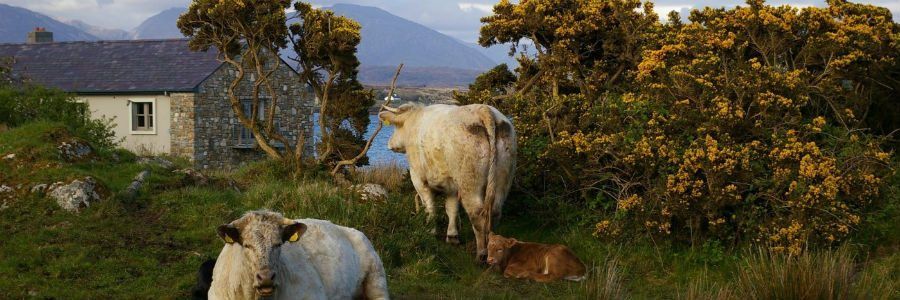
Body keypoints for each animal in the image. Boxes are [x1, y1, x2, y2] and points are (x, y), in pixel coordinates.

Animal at [380, 102, 516, 260]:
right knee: (494, 212)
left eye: (396, 127)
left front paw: (431, 231)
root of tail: (483, 110)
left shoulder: (418, 178)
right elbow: (451, 208)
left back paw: (481, 254)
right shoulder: (452, 186)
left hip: (469, 183)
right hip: (503, 179)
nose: (389, 143)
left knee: (477, 215)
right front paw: (452, 236)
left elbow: (430, 206)